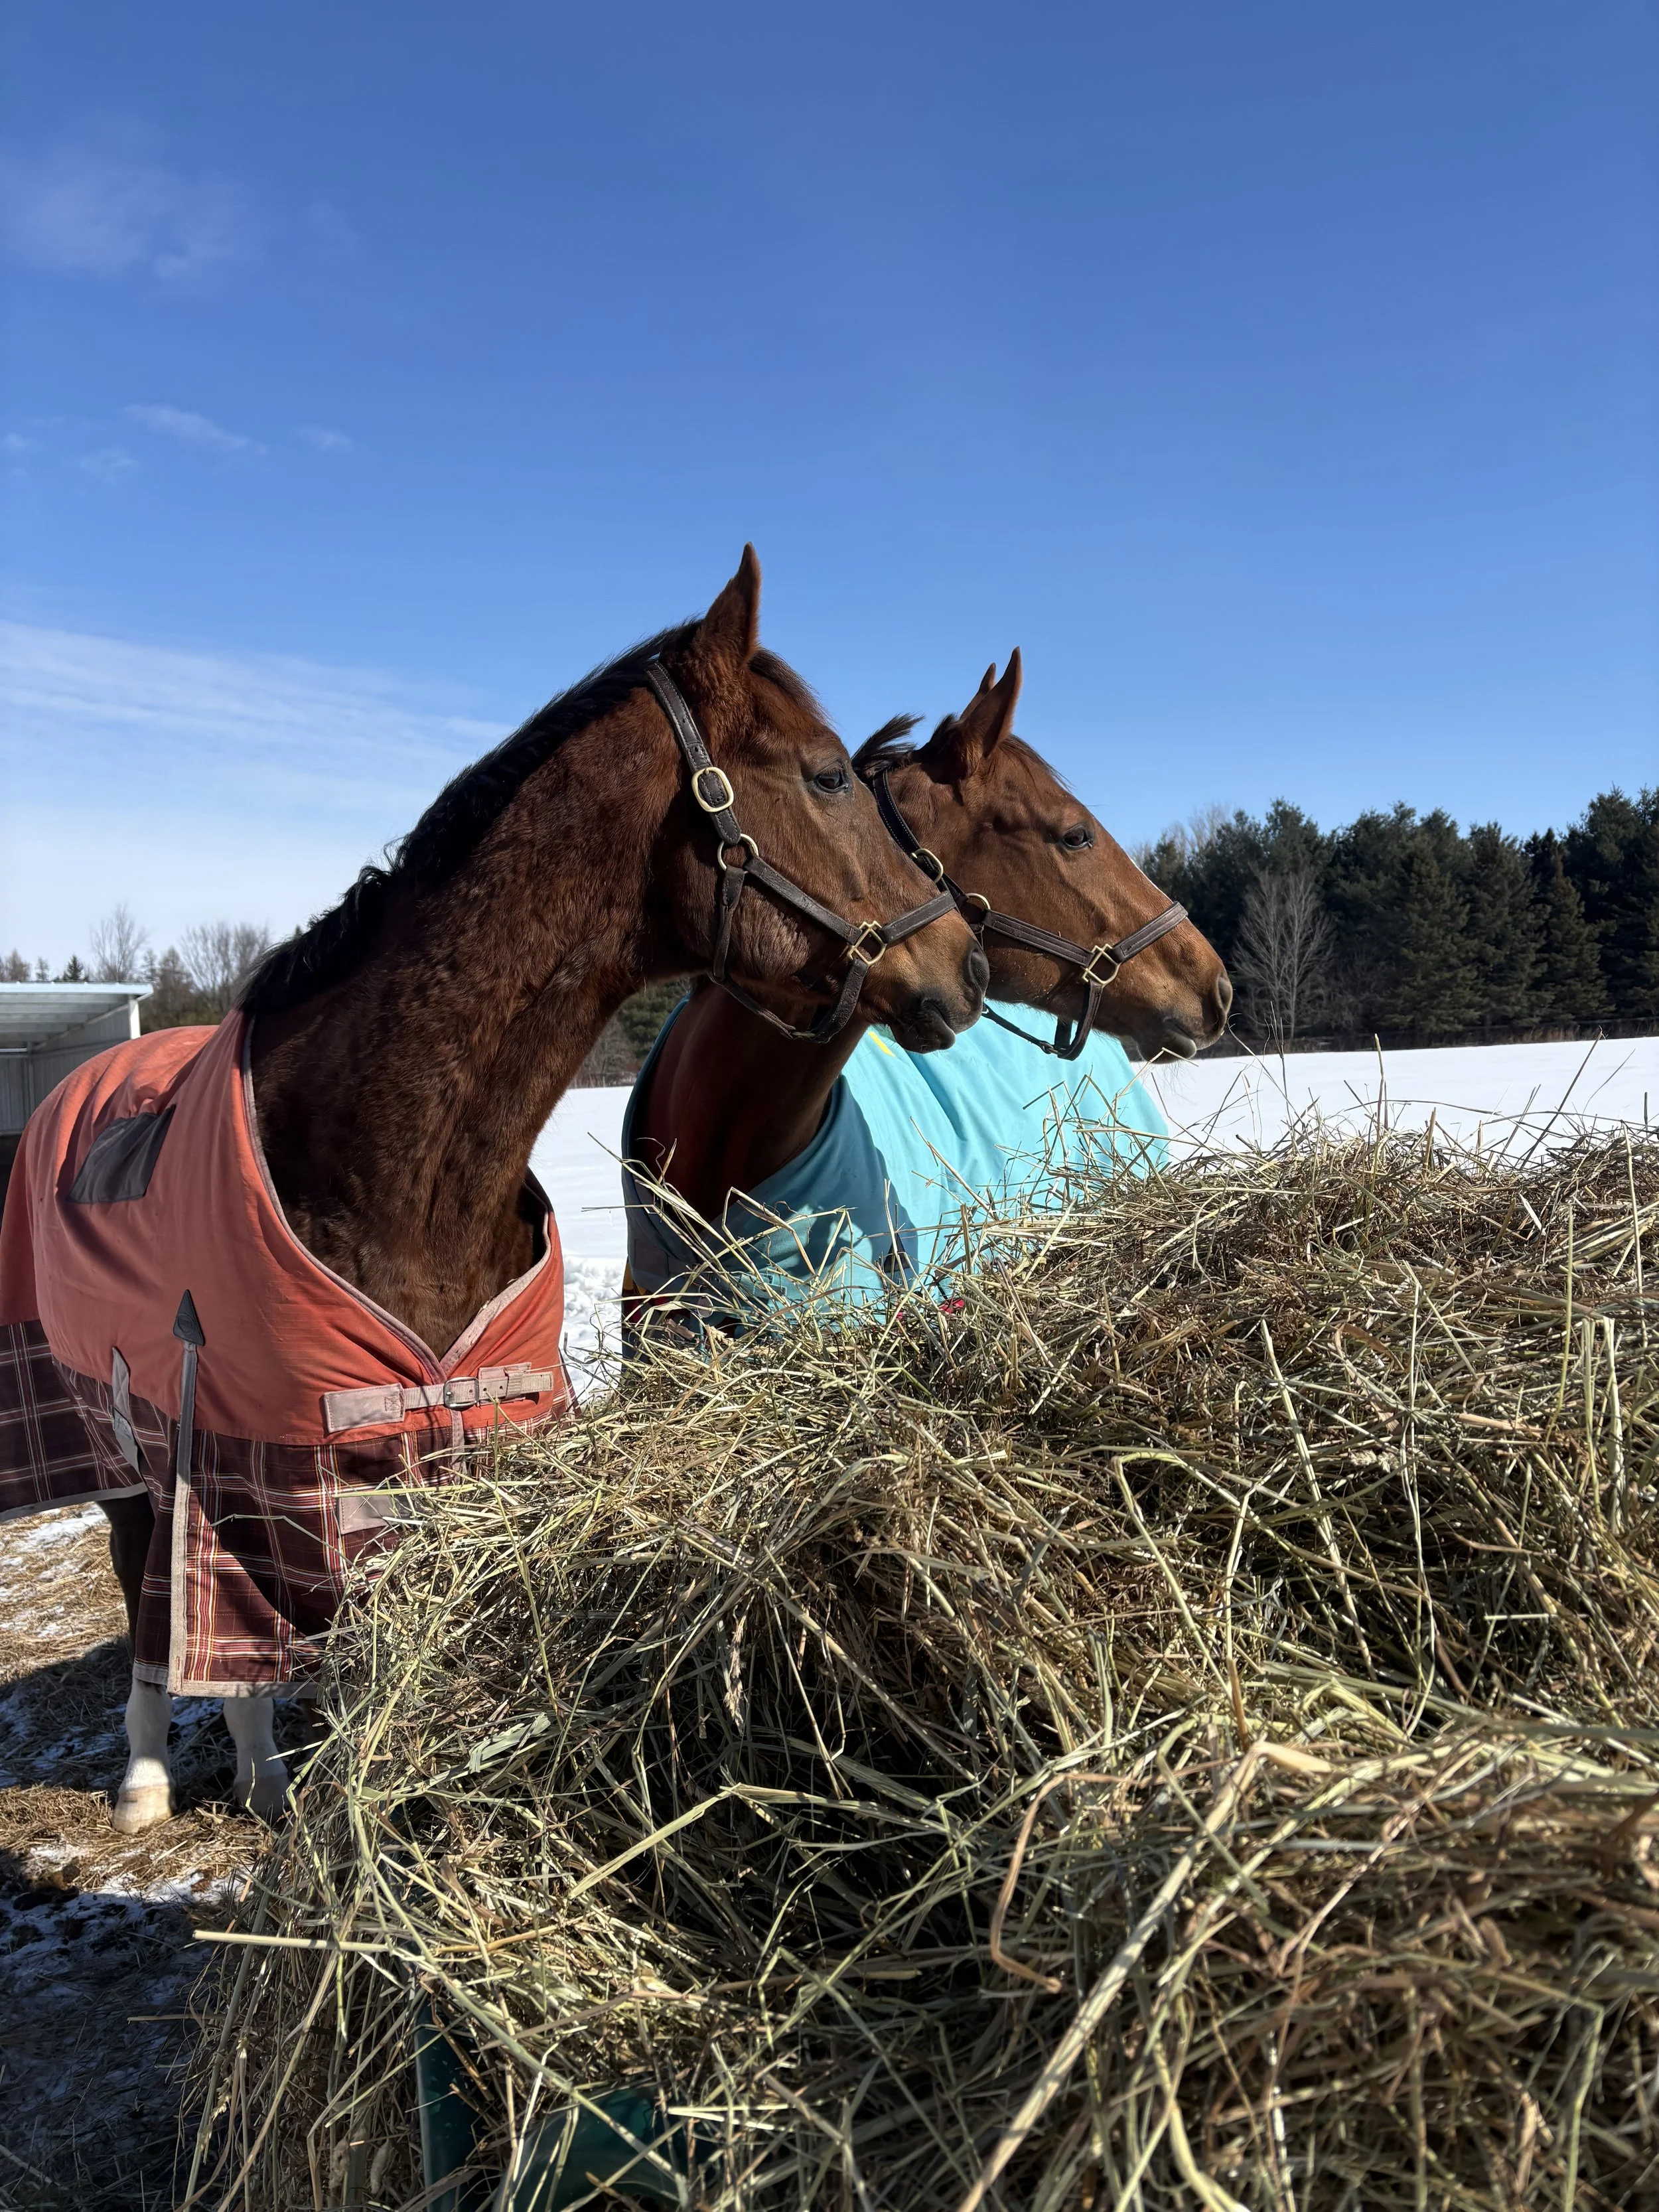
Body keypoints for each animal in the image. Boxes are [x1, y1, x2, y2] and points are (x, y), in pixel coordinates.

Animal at [0, 548, 987, 1831]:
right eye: (826, 775)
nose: (965, 963)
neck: (394, 1177)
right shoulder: (279, 1469)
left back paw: (257, 1775)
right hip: (124, 1445)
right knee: (153, 1597)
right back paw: (147, 1773)